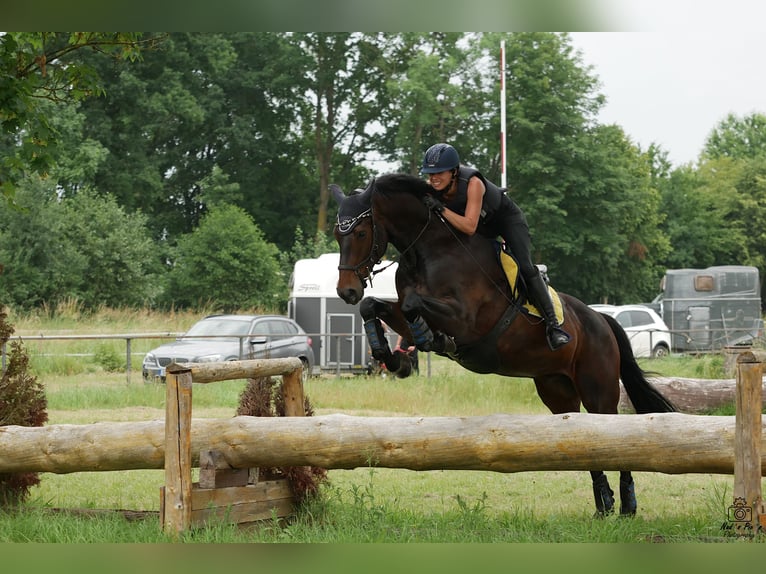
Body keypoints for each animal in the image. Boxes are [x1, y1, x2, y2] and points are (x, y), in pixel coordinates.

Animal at [331, 172, 677, 518]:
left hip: (598, 388)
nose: (347, 291)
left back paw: (627, 504)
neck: (427, 252)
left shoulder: (466, 319)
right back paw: (604, 505)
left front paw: (433, 341)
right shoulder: (404, 313)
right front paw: (391, 358)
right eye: (337, 235)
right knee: (581, 435)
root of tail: (602, 319)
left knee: (610, 429)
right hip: (556, 389)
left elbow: (414, 305)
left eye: (360, 232)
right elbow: (376, 307)